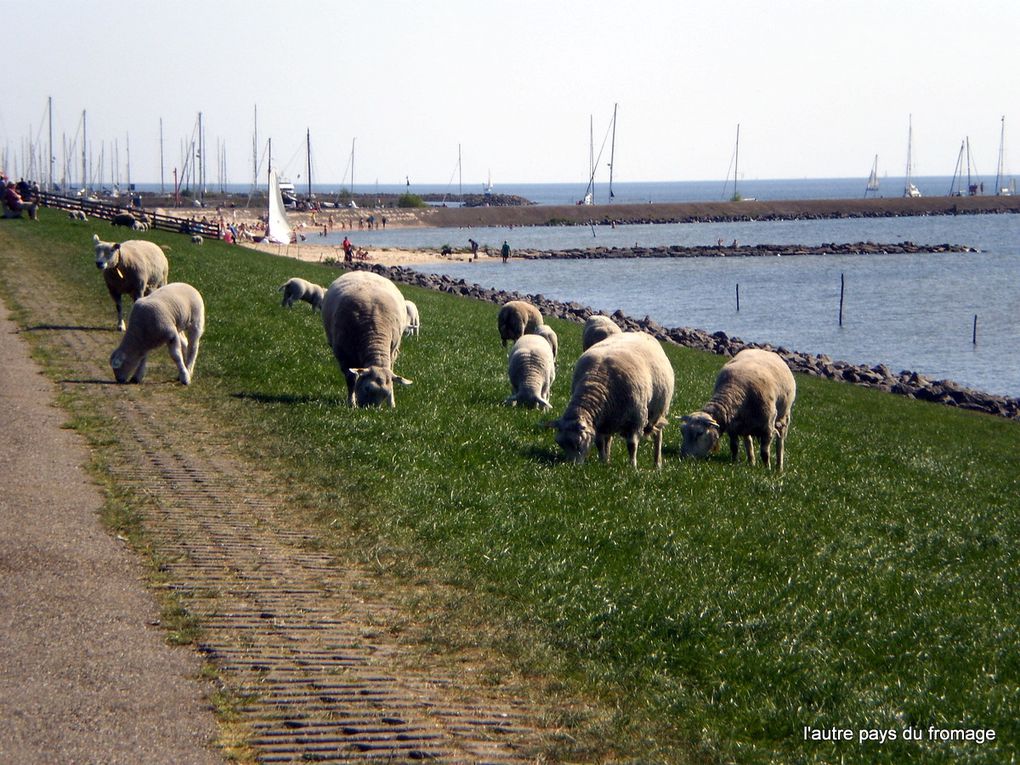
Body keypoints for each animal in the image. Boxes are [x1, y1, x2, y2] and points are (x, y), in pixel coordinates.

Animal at [320, 273, 412, 410]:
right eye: (367, 388)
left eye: (386, 394)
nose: (370, 410)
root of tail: (364, 272)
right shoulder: (343, 355)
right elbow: (351, 379)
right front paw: (351, 403)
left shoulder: (392, 351)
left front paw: (391, 404)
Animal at [546, 334, 673, 471]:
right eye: (560, 443)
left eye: (578, 443)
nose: (570, 466)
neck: (596, 382)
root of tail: (643, 333)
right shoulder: (600, 423)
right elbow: (599, 443)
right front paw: (603, 462)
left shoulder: (636, 420)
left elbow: (632, 445)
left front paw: (632, 467)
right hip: (610, 418)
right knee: (609, 438)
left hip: (658, 413)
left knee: (658, 436)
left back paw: (657, 464)